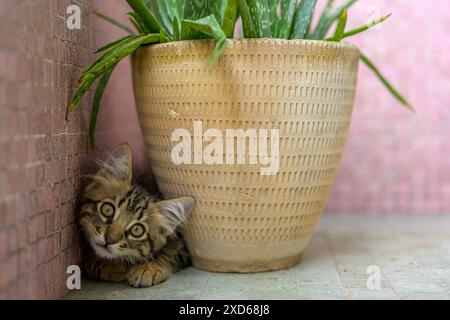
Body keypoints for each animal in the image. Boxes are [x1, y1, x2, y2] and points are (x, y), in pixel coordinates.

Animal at [78, 144, 194, 288]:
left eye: (137, 230)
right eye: (108, 209)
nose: (108, 240)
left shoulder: (182, 245)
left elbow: (167, 252)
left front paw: (147, 268)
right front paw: (108, 265)